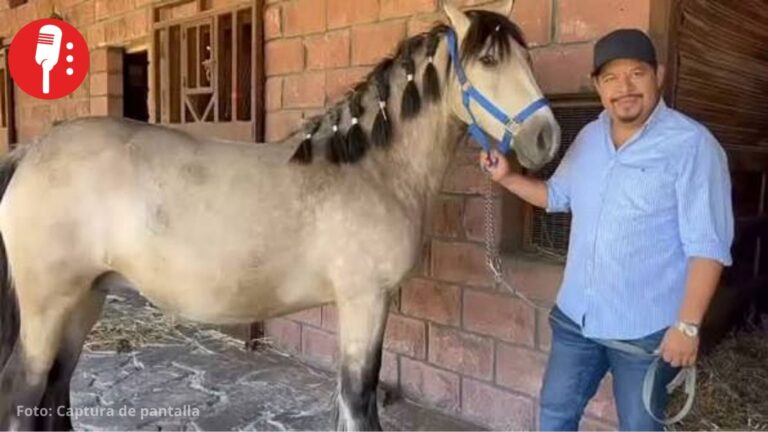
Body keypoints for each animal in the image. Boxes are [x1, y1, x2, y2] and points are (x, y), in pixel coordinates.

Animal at [0, 1, 560, 430]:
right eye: (489, 59)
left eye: (527, 57)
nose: (547, 138)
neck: (373, 170)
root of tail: (31, 152)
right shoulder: (365, 300)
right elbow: (359, 398)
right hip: (51, 304)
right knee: (25, 392)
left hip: (87, 298)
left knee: (55, 389)